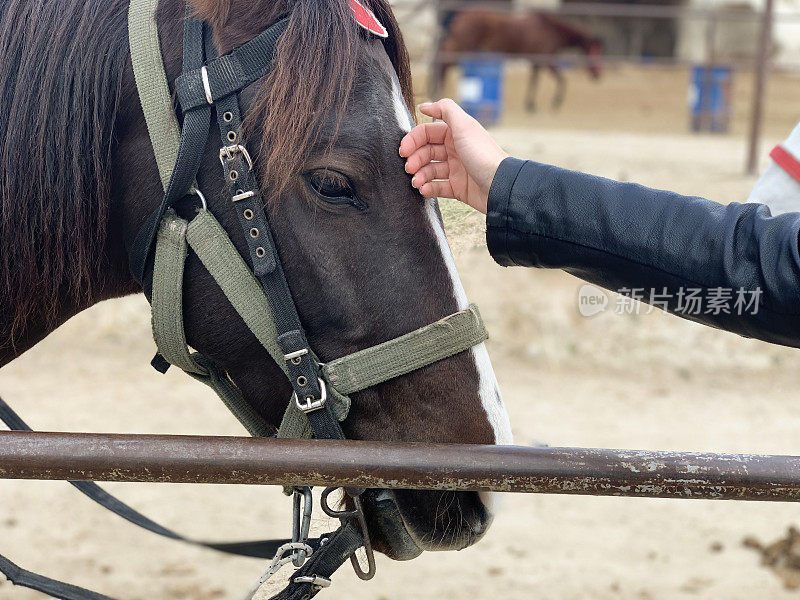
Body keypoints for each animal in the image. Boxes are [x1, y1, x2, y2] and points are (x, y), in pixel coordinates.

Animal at [434, 9, 604, 111]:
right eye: (595, 52)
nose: (598, 75)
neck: (551, 30)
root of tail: (460, 15)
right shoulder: (547, 60)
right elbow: (562, 80)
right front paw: (554, 103)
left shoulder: (537, 62)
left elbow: (534, 81)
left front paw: (530, 104)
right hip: (462, 49)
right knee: (443, 65)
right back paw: (438, 92)